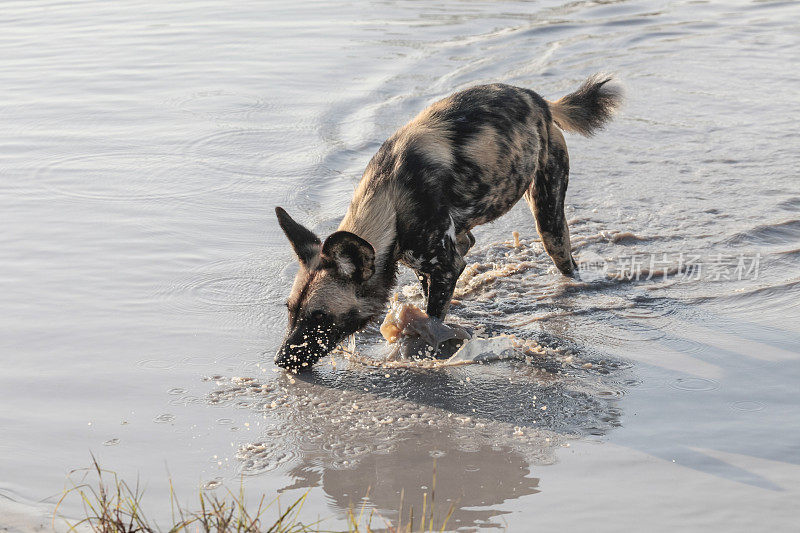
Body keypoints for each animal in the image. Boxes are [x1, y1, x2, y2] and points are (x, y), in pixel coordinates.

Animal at [276, 72, 624, 368]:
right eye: (291, 311)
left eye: (320, 317)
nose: (281, 360)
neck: (390, 200)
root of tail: (539, 101)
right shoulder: (427, 265)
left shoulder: (445, 267)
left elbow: (432, 319)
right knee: (468, 240)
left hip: (549, 220)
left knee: (564, 257)